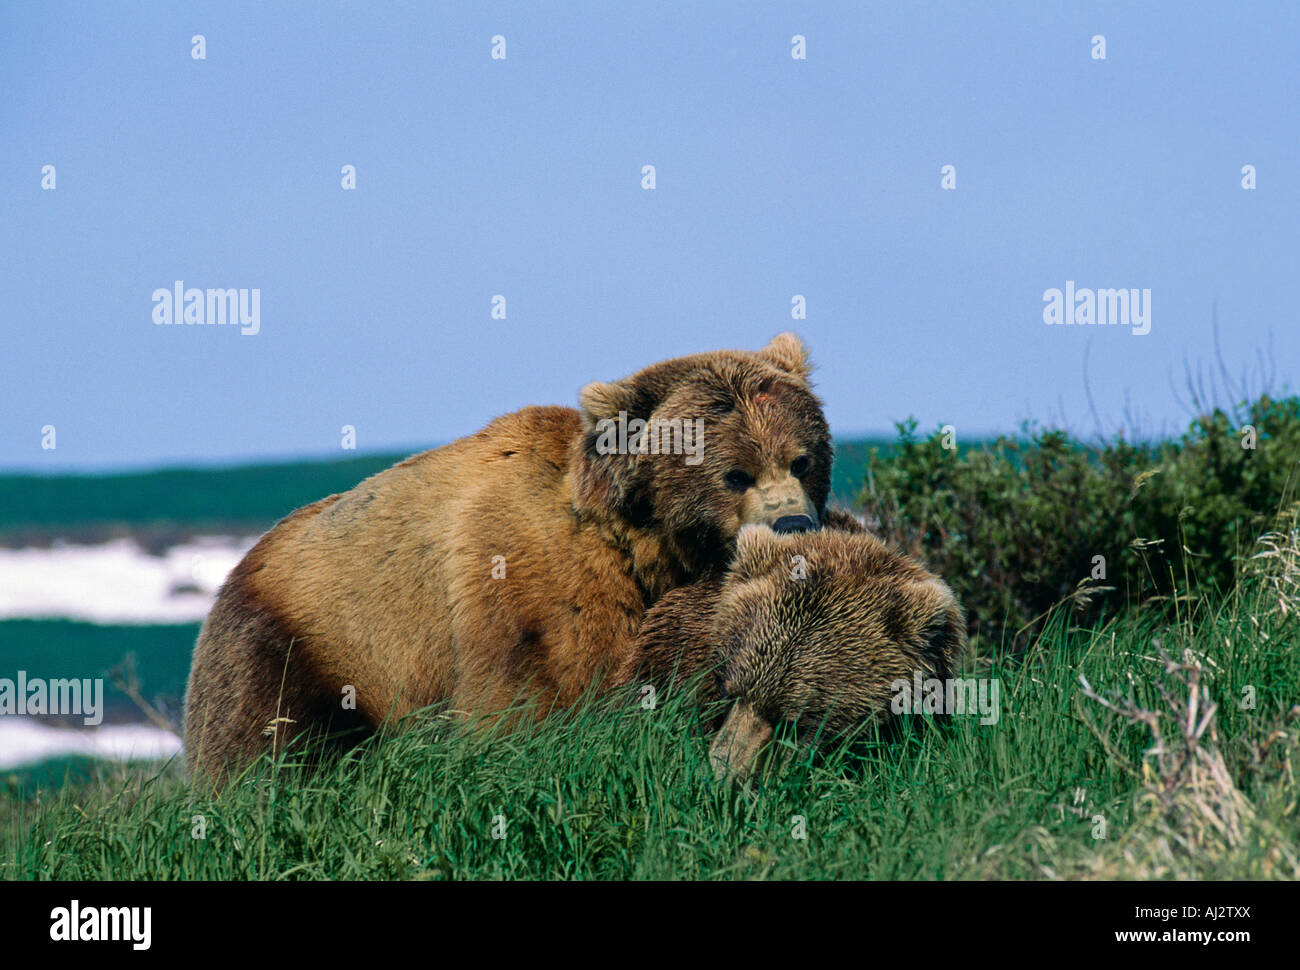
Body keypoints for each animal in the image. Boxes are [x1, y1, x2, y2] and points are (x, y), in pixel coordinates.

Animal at [183, 332, 832, 780]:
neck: (640, 541)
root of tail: (232, 573)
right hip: (307, 644)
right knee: (268, 746)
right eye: (735, 474)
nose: (793, 522)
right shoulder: (536, 582)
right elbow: (541, 696)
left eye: (801, 459)